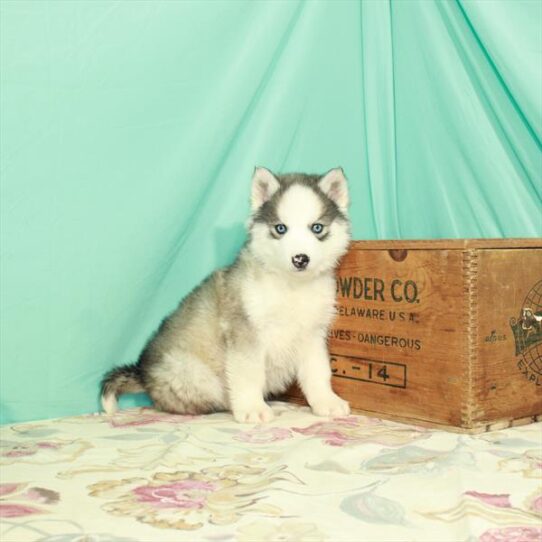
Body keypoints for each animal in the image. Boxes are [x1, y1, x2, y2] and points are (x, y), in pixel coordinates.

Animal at [101, 168, 352, 422]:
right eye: (280, 228)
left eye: (317, 228)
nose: (300, 259)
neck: (292, 286)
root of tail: (142, 372)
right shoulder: (244, 330)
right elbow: (249, 373)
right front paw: (252, 409)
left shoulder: (313, 334)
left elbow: (318, 372)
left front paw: (326, 402)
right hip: (195, 374)